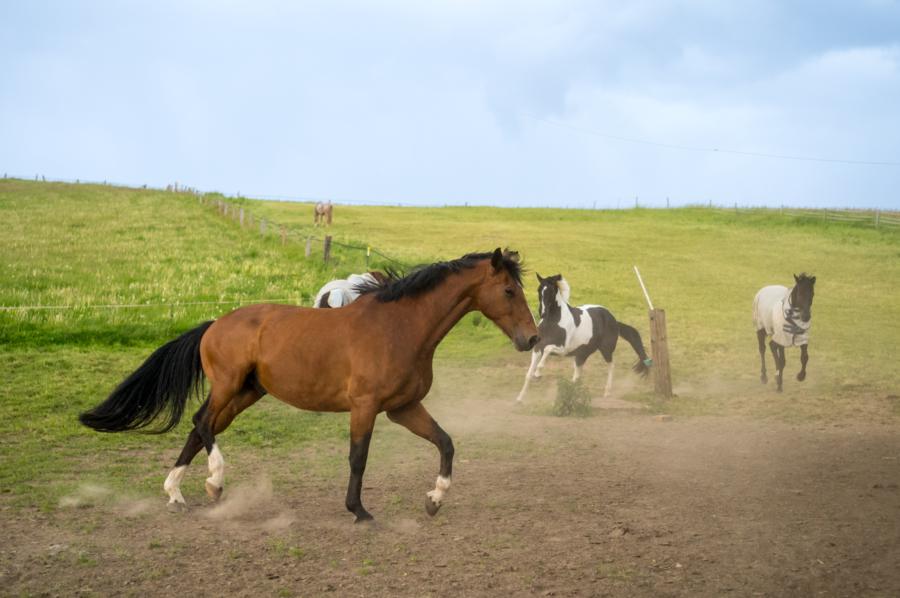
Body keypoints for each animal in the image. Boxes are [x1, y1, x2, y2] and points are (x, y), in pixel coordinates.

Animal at [79, 249, 539, 522]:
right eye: (508, 290)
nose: (532, 339)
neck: (401, 327)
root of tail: (214, 324)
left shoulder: (402, 408)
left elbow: (445, 442)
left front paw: (435, 498)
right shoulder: (366, 406)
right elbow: (358, 458)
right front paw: (359, 510)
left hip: (247, 392)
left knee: (200, 428)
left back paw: (176, 492)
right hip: (228, 386)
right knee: (201, 422)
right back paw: (214, 482)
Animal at [515, 274, 651, 403]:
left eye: (551, 290)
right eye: (539, 289)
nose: (542, 313)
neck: (553, 322)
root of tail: (614, 320)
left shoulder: (563, 349)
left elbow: (547, 350)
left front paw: (538, 374)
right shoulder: (537, 348)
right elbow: (528, 374)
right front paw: (519, 399)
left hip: (606, 350)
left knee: (611, 366)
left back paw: (607, 392)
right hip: (582, 354)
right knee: (577, 375)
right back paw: (571, 394)